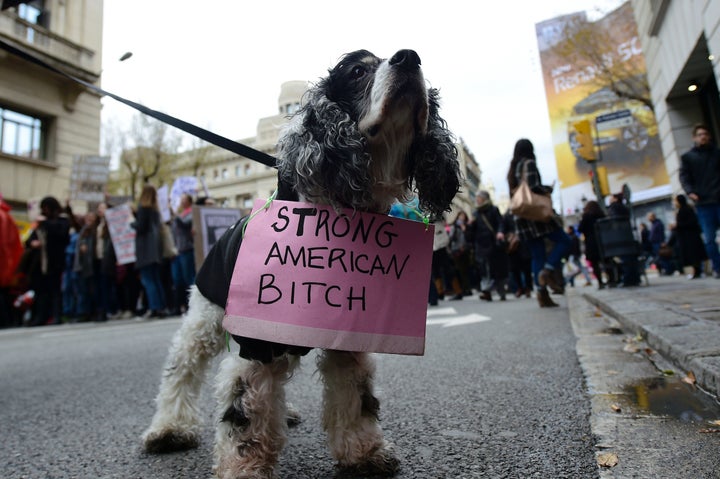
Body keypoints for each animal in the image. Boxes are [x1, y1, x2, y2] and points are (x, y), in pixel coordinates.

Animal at [141, 49, 462, 479]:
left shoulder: (348, 335)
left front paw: (364, 453)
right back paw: (170, 428)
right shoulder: (256, 344)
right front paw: (244, 467)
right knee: (181, 370)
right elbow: (244, 414)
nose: (409, 57)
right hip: (204, 320)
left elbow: (356, 397)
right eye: (357, 70)